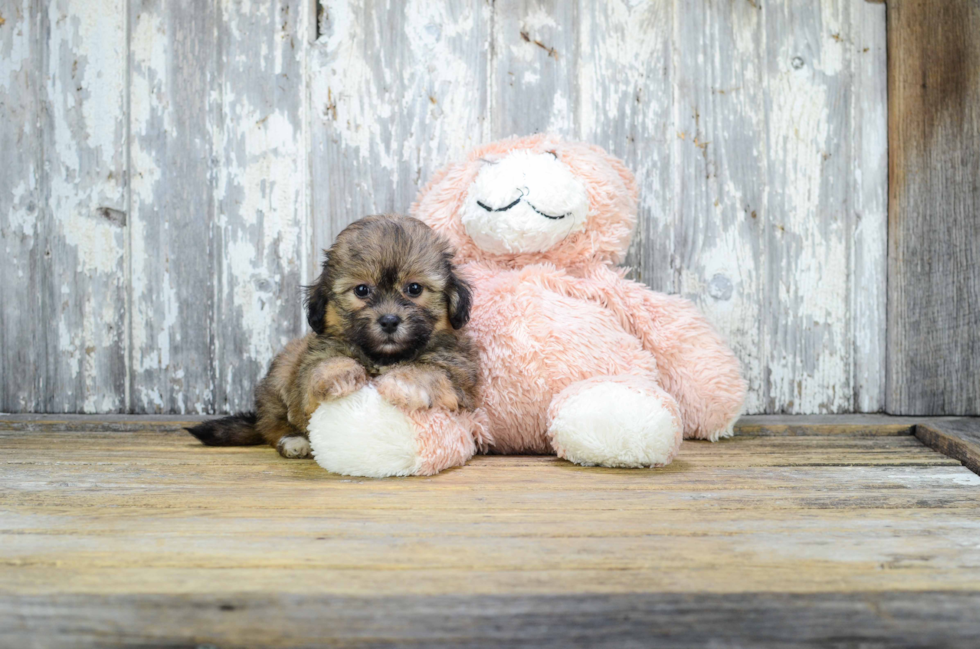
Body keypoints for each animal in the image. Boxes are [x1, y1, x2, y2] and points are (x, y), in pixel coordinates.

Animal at [188, 215, 478, 458]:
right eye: (362, 290)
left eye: (414, 289)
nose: (389, 320)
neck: (381, 357)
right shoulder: (312, 363)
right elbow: (322, 367)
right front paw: (337, 376)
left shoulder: (458, 372)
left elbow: (429, 371)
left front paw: (402, 383)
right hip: (282, 372)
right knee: (272, 424)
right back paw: (294, 441)